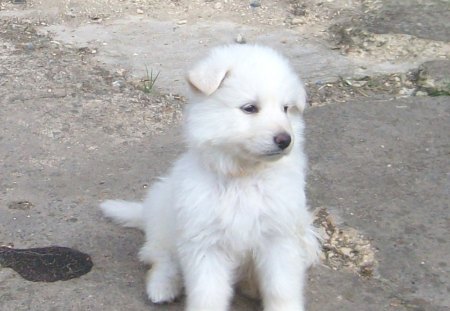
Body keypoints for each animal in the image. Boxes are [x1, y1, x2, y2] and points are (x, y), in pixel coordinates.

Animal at [102, 44, 320, 311]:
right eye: (250, 108)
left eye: (286, 109)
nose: (285, 139)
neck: (243, 176)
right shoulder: (204, 244)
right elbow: (208, 292)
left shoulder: (279, 238)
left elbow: (280, 287)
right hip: (165, 225)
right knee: (161, 258)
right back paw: (162, 287)